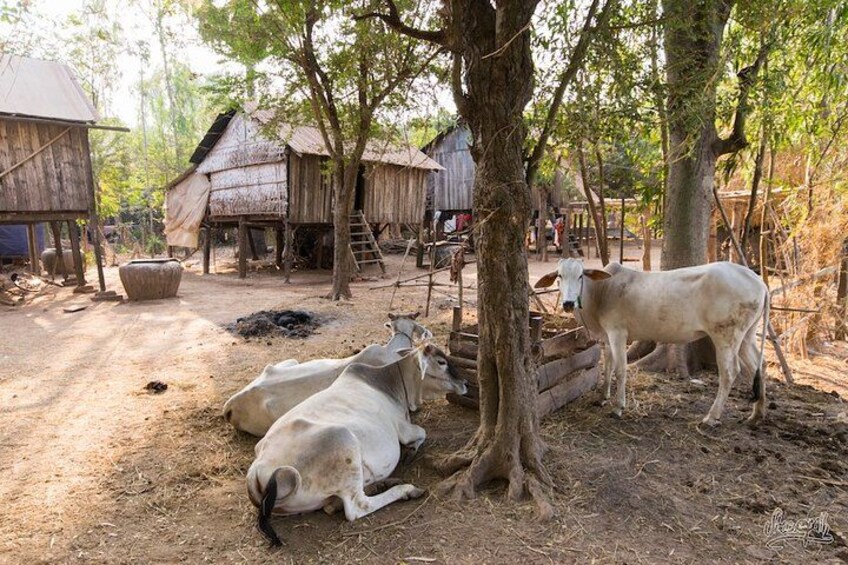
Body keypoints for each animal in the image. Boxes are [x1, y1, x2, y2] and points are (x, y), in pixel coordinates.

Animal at [248, 342, 467, 546]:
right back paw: (405, 489)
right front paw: (411, 451)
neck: (391, 384)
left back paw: (381, 484)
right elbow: (422, 433)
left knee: (333, 505)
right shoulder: (403, 429)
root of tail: (258, 467)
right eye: (441, 362)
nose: (464, 382)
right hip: (343, 441)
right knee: (357, 507)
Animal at [536, 258, 769, 426]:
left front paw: (618, 407)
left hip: (726, 336)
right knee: (759, 365)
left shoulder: (617, 333)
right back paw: (757, 414)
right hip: (747, 336)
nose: (567, 303)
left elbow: (620, 369)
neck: (601, 291)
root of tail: (759, 281)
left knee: (730, 372)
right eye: (559, 275)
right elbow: (607, 366)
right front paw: (602, 397)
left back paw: (711, 417)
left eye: (580, 275)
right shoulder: (605, 337)